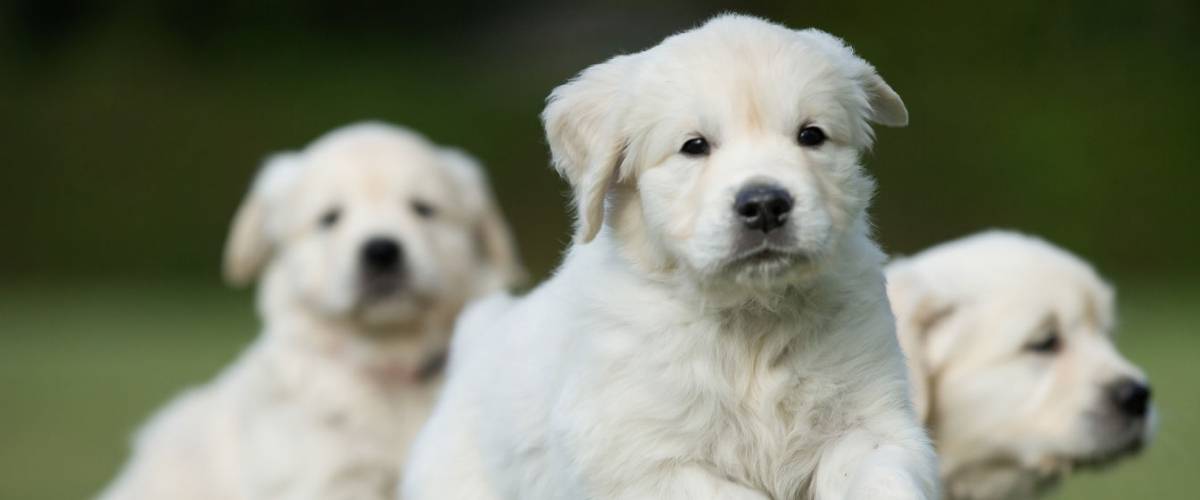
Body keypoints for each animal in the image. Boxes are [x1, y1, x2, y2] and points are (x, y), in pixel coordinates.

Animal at [403, 13, 936, 496]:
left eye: (811, 135)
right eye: (694, 146)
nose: (765, 204)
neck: (751, 321)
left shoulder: (869, 423)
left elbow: (882, 476)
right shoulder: (640, 460)